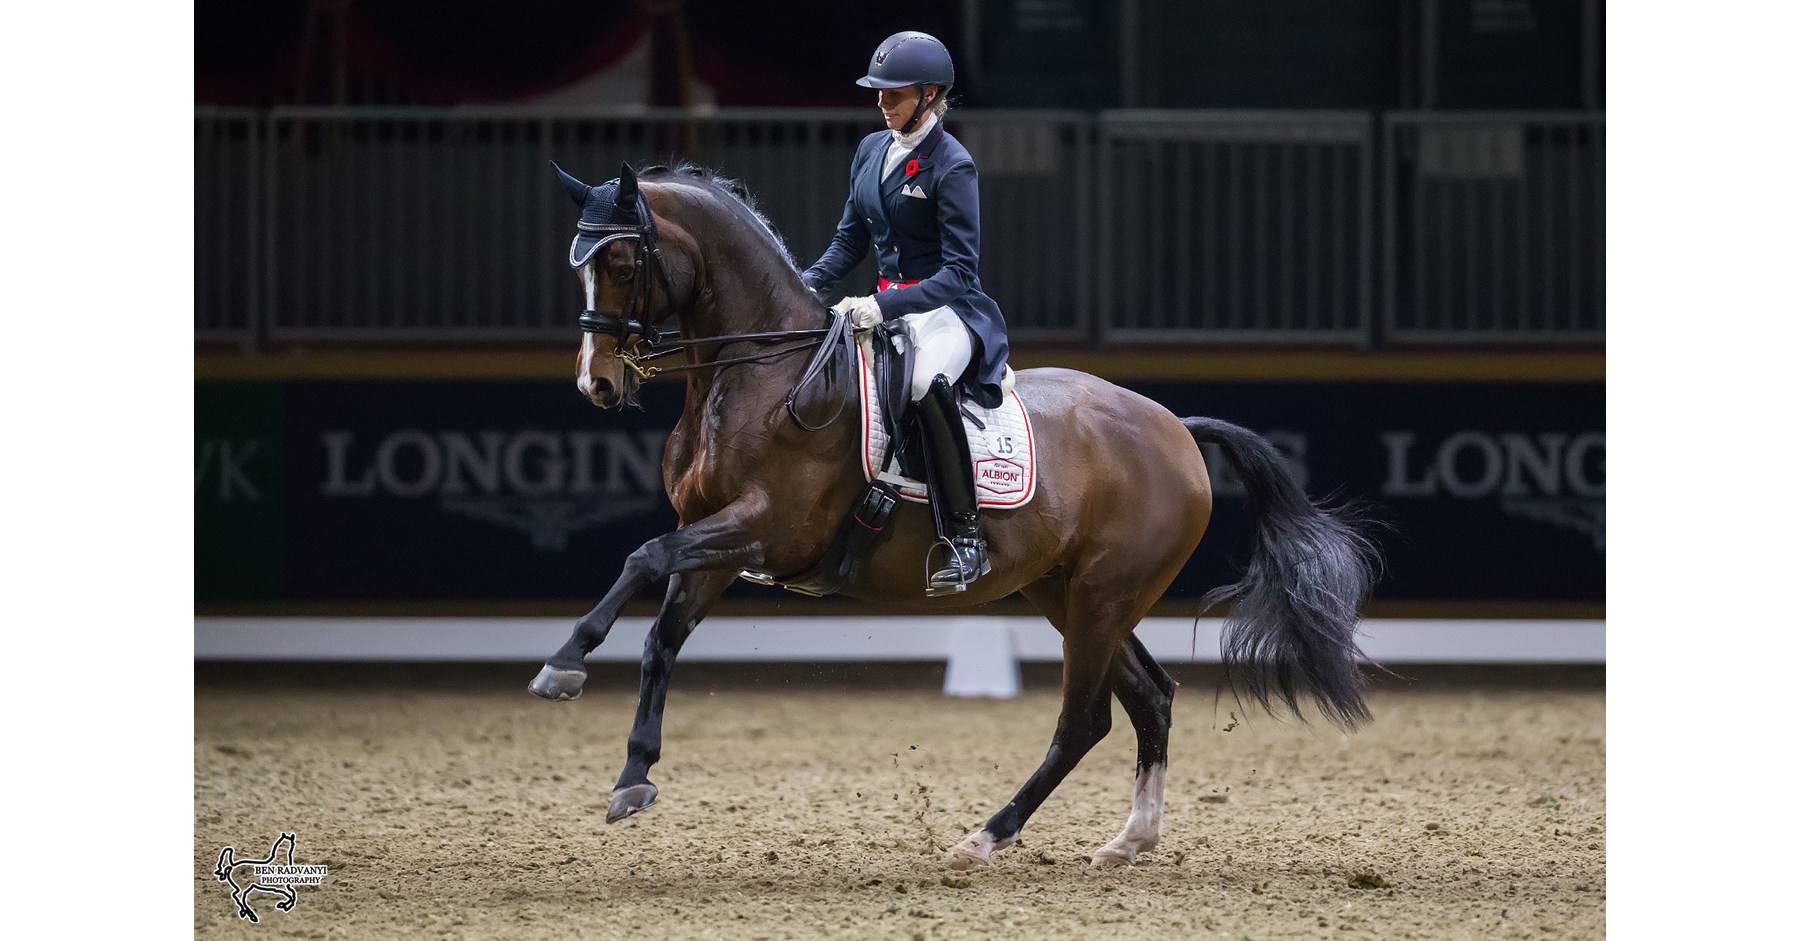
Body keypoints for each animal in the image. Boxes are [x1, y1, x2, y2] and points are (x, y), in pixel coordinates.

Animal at [529, 162, 1379, 870]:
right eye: (577, 265)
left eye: (623, 263)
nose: (597, 384)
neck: (765, 373)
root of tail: (1174, 426)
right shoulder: (718, 542)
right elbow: (661, 636)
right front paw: (632, 774)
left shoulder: (767, 527)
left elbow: (641, 555)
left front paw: (563, 663)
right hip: (1067, 592)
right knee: (1151, 698)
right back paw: (1129, 839)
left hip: (1103, 596)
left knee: (1086, 721)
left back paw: (987, 835)